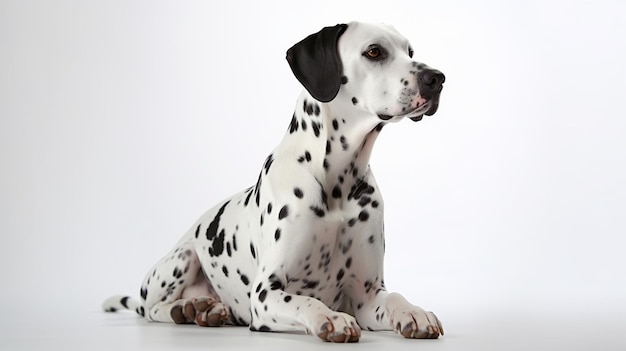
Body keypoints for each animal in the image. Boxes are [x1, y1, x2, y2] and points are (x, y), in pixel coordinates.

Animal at [103, 20, 444, 342]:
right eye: (374, 51)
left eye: (410, 52)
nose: (437, 78)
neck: (337, 181)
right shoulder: (266, 294)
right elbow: (306, 301)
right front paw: (330, 318)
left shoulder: (368, 295)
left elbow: (395, 297)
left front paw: (414, 312)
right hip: (183, 257)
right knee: (151, 309)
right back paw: (185, 308)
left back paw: (203, 308)